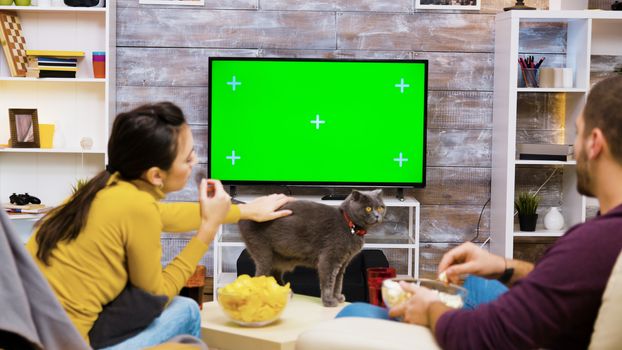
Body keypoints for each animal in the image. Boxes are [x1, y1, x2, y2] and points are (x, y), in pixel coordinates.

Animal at [239, 190, 386, 308]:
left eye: (380, 208)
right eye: (368, 208)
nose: (377, 216)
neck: (351, 226)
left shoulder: (343, 262)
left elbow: (338, 282)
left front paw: (338, 297)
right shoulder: (329, 259)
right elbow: (329, 282)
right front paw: (329, 301)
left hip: (279, 258)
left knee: (275, 274)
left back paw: (284, 293)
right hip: (264, 253)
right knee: (260, 275)